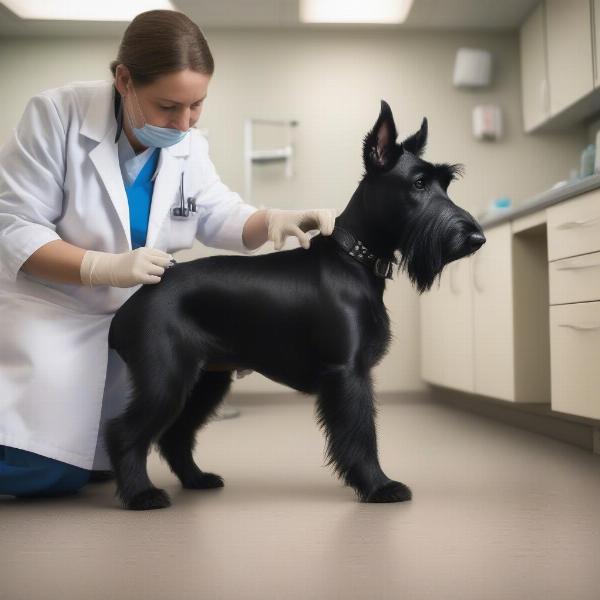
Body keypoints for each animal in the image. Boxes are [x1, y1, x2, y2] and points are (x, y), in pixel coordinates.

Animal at [105, 102, 486, 510]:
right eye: (418, 184)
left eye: (445, 184)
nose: (477, 238)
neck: (353, 257)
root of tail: (133, 303)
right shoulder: (349, 374)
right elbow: (361, 437)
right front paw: (379, 486)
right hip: (167, 379)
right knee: (123, 432)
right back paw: (140, 494)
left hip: (206, 380)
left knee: (175, 434)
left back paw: (196, 479)